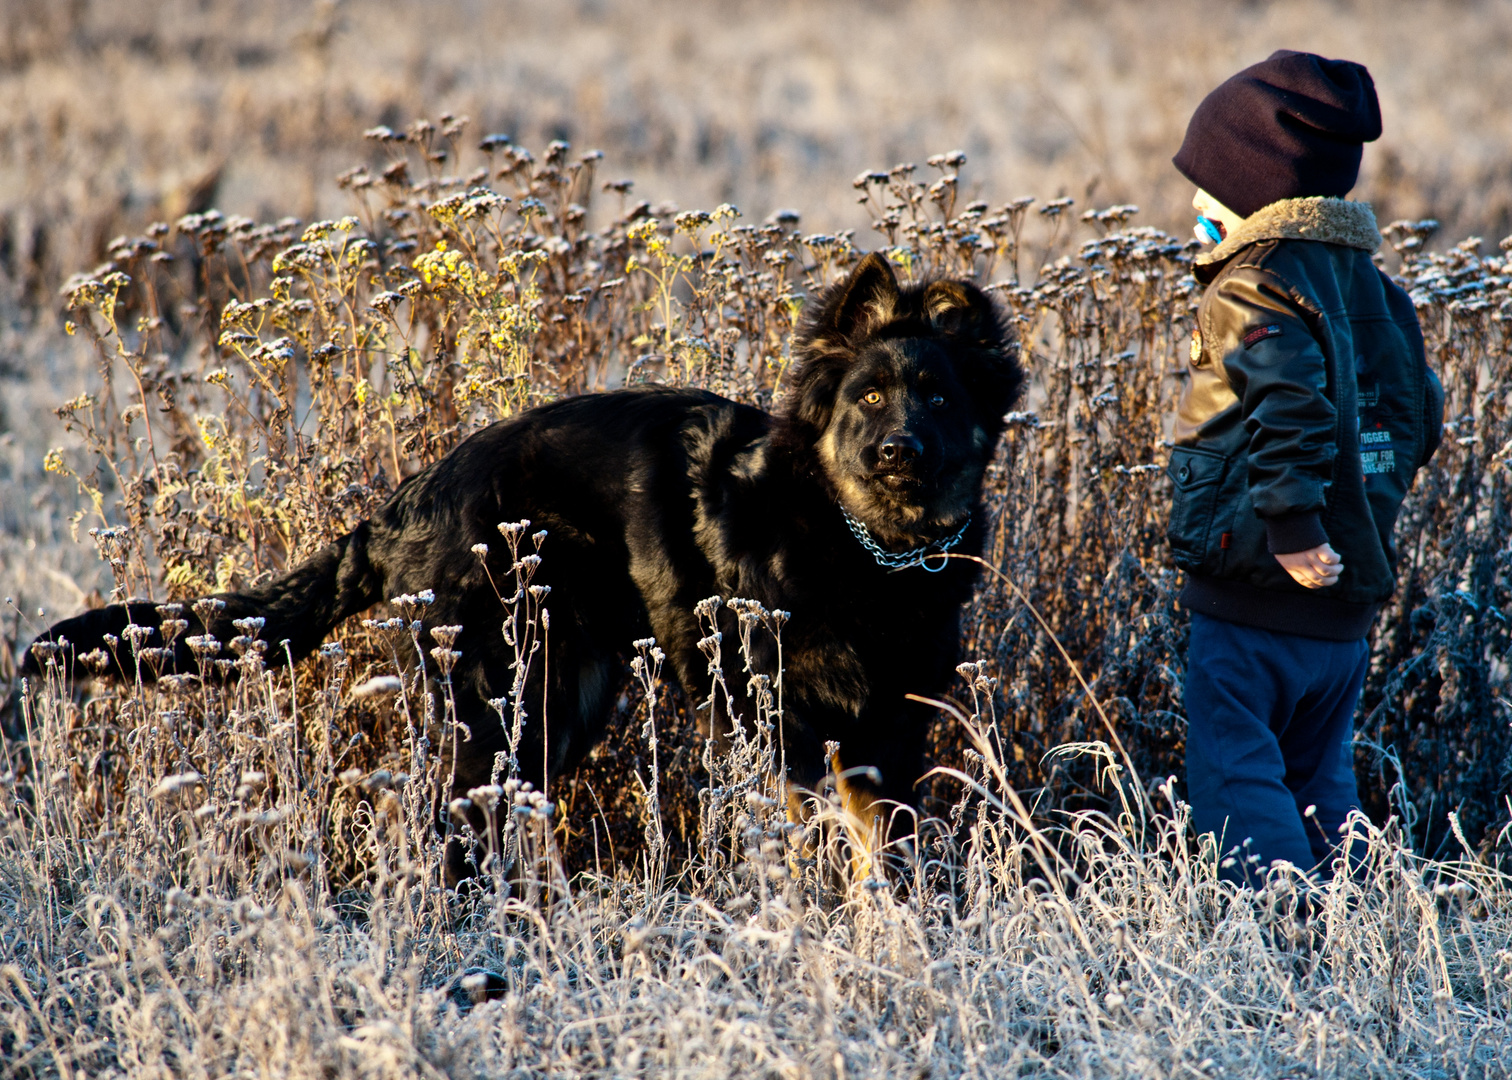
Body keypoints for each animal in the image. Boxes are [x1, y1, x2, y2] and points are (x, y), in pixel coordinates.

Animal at [23, 252, 1022, 865]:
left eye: (938, 396)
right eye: (869, 397)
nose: (898, 451)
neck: (868, 546)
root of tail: (399, 506)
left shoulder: (892, 726)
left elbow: (883, 846)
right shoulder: (781, 718)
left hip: (558, 703)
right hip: (509, 692)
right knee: (446, 824)